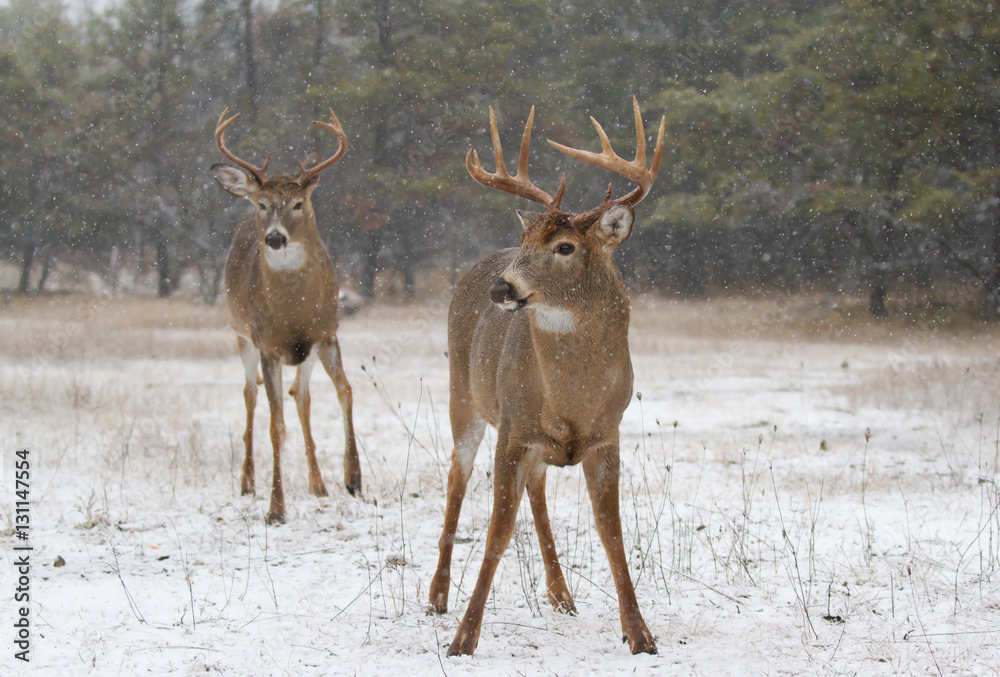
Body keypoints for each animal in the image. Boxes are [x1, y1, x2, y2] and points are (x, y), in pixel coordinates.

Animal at [210, 108, 361, 525]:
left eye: (297, 203)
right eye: (263, 205)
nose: (275, 238)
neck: (294, 311)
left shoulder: (326, 332)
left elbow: (345, 393)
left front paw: (353, 479)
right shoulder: (267, 345)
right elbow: (275, 426)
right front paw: (276, 508)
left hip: (305, 351)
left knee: (302, 395)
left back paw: (318, 484)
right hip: (240, 334)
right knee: (250, 395)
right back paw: (248, 482)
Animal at [428, 97, 664, 656]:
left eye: (564, 246)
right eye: (524, 239)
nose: (502, 288)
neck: (571, 400)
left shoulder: (607, 434)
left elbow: (611, 532)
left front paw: (640, 633)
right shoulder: (512, 428)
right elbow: (496, 531)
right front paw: (464, 637)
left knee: (536, 487)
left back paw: (561, 594)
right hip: (462, 395)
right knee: (456, 477)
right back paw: (438, 595)